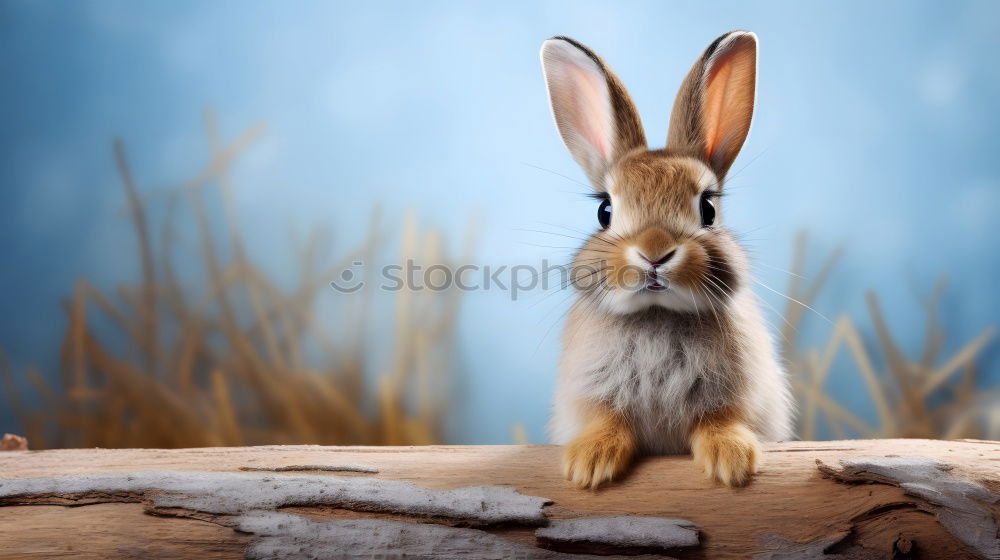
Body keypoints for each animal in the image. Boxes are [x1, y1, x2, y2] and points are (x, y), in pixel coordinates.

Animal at [544, 30, 792, 488]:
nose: (655, 253)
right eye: (604, 210)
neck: (657, 313)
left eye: (708, 209)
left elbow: (721, 419)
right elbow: (606, 419)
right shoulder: (590, 392)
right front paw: (590, 464)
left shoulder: (741, 393)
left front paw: (732, 460)